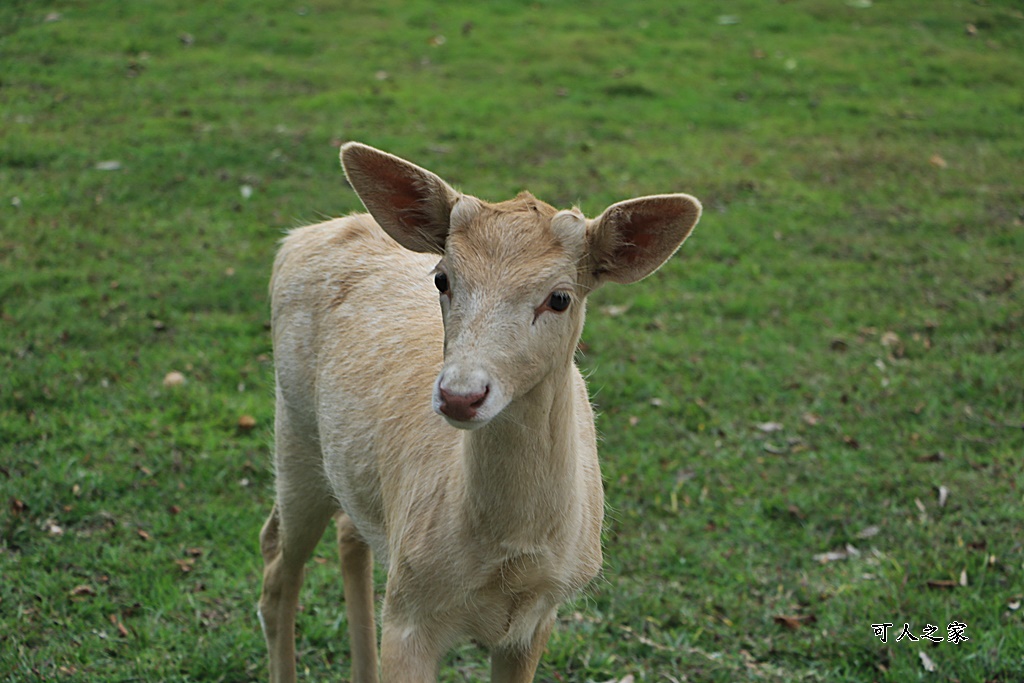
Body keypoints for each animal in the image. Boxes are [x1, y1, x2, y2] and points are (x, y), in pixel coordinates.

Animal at [260, 141, 700, 679]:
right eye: (442, 278)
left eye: (559, 298)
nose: (459, 395)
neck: (509, 556)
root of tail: (299, 236)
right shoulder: (408, 608)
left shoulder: (538, 616)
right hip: (294, 430)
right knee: (277, 564)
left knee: (349, 534)